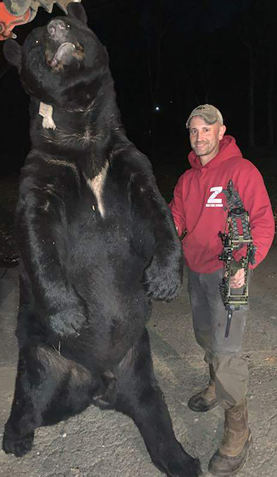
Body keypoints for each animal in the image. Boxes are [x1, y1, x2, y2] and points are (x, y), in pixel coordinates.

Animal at [2, 4, 201, 476]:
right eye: (35, 41)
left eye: (74, 25)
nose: (55, 26)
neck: (84, 140)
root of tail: (97, 381)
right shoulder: (41, 176)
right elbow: (36, 238)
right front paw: (70, 314)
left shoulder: (128, 163)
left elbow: (158, 213)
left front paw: (164, 280)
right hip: (42, 361)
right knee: (29, 401)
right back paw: (15, 439)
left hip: (137, 363)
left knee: (154, 412)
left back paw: (184, 459)